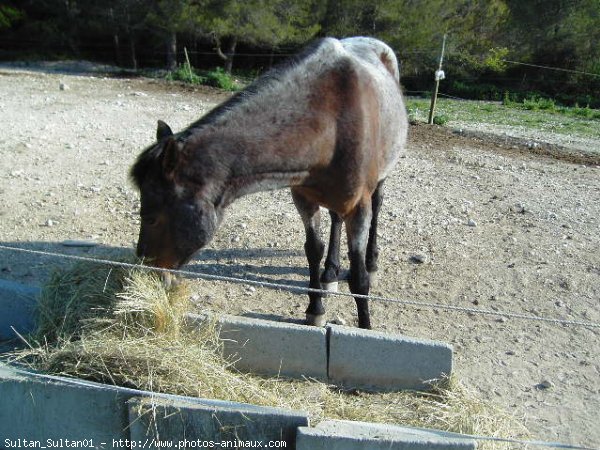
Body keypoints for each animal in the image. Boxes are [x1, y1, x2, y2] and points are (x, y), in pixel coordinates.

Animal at [132, 37, 410, 328]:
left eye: (150, 218)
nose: (147, 273)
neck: (331, 124)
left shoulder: (358, 207)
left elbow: (358, 279)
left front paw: (366, 326)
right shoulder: (304, 198)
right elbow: (314, 249)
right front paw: (315, 309)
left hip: (379, 181)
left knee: (377, 206)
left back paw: (372, 262)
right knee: (335, 218)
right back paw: (330, 274)